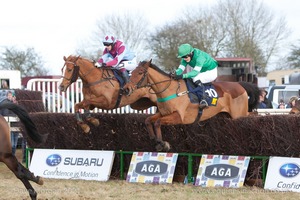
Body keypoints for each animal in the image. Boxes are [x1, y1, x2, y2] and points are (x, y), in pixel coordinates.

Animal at [123, 60, 258, 151]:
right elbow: (148, 120)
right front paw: (153, 139)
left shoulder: (178, 116)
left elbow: (157, 123)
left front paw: (162, 143)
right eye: (132, 72)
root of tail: (240, 85)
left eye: (140, 73)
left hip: (238, 114)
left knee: (253, 114)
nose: (126, 89)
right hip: (226, 115)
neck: (170, 90)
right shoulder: (163, 113)